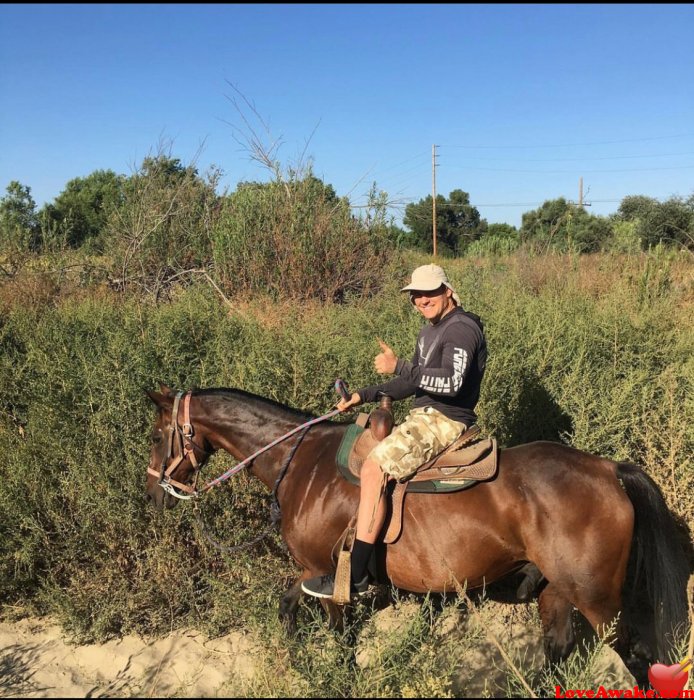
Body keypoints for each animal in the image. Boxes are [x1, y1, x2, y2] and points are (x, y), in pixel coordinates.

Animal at [144, 386, 692, 688]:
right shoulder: (310, 576)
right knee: (558, 656)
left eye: (154, 435)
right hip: (556, 593)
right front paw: (298, 662)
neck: (301, 463)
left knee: (638, 658)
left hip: (598, 600)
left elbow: (339, 642)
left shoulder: (330, 579)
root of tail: (608, 469)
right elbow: (286, 607)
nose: (153, 492)